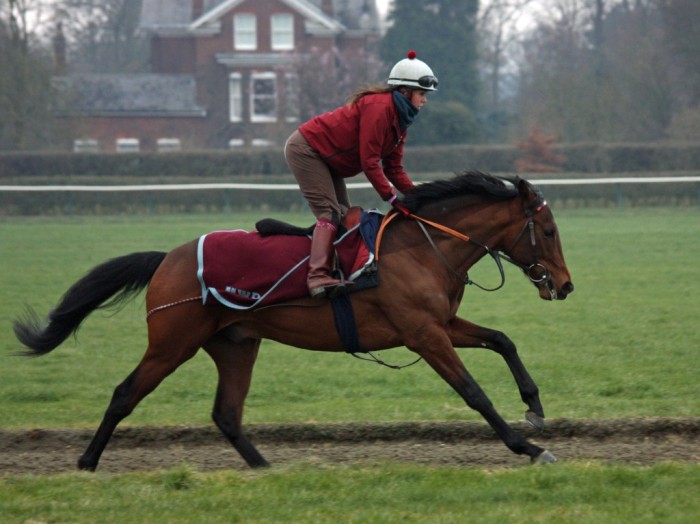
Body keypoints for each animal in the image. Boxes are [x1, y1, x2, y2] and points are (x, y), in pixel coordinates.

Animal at [13, 172, 576, 470]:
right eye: (548, 230)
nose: (566, 285)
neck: (421, 246)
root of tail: (166, 258)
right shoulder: (423, 334)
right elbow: (474, 393)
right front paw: (528, 446)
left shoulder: (441, 324)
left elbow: (502, 340)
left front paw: (534, 408)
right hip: (172, 343)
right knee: (125, 394)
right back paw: (87, 463)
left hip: (236, 343)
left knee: (226, 413)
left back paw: (264, 467)